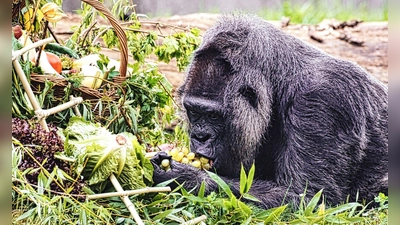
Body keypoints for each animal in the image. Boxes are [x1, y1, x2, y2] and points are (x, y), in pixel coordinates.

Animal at [151, 14, 388, 209]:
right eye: (193, 112)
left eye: (212, 115)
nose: (200, 137)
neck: (280, 81)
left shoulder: (325, 99)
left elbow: (310, 198)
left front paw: (185, 177)